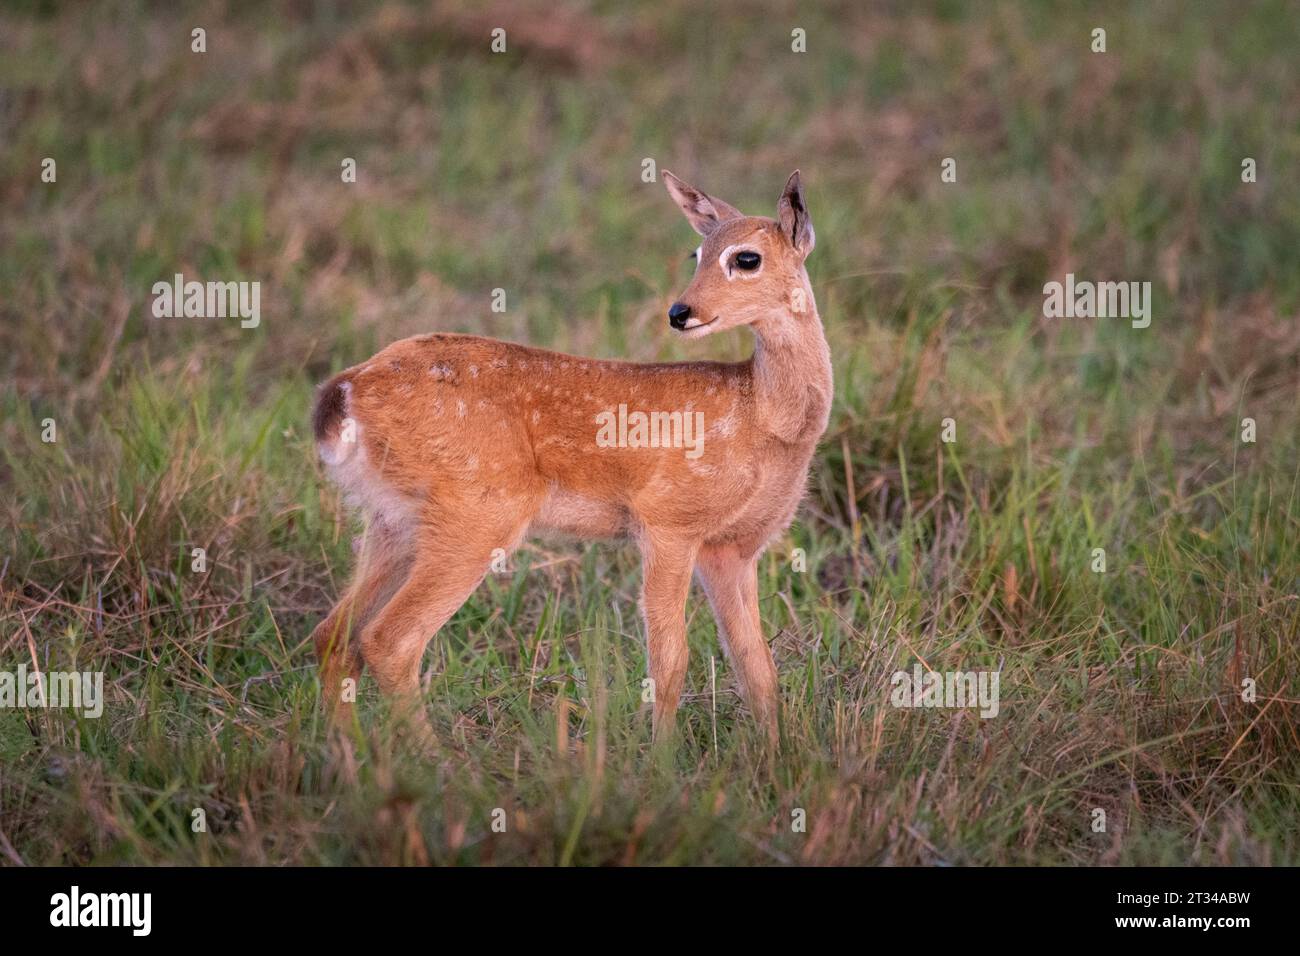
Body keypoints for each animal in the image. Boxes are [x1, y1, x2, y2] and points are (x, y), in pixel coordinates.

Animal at [309, 169, 831, 750]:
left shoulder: (733, 549)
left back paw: (349, 757)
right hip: (478, 509)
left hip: (393, 519)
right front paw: (662, 762)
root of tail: (346, 390)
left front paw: (775, 756)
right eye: (697, 252)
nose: (680, 312)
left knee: (334, 637)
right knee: (389, 640)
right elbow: (670, 662)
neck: (763, 416)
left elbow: (756, 667)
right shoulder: (668, 521)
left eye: (746, 257)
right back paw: (439, 762)